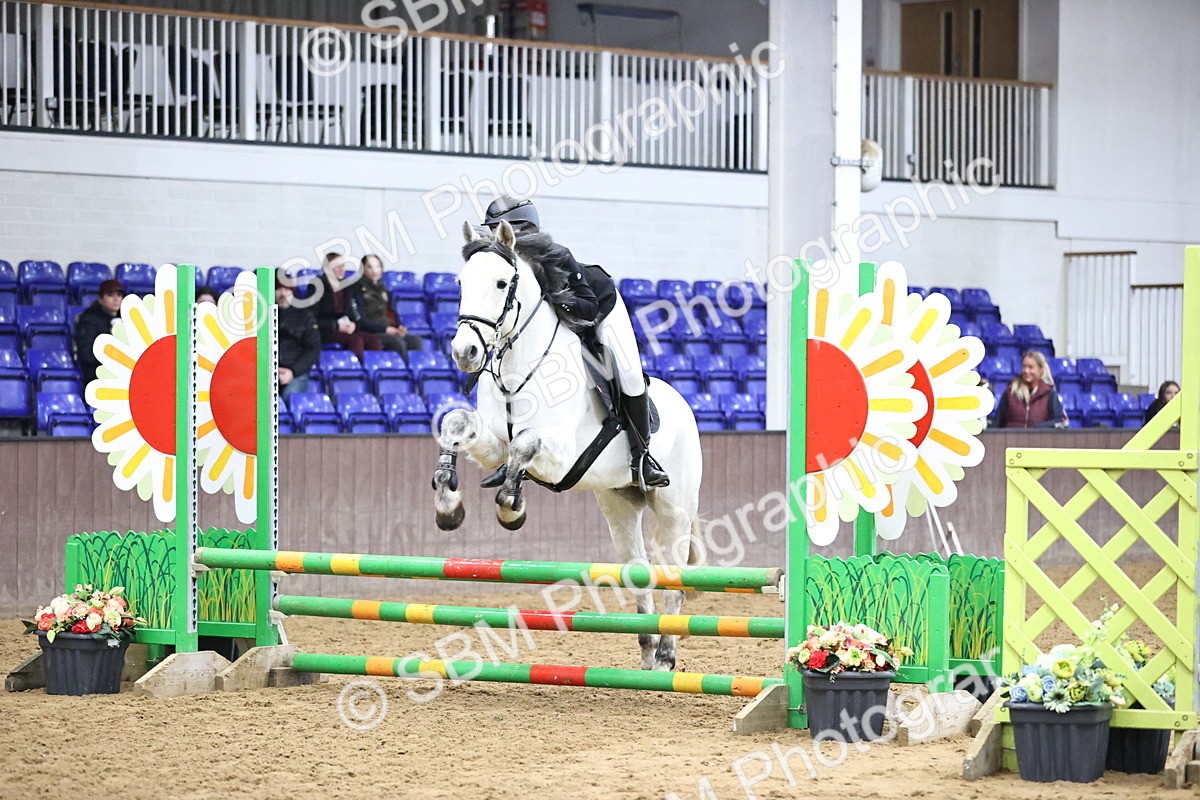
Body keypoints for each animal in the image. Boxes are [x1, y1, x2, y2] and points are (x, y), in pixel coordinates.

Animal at [430, 220, 704, 671]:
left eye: (502, 282)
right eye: (460, 282)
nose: (464, 352)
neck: (521, 367)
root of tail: (685, 407)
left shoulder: (560, 456)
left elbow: (525, 445)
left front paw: (511, 508)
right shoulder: (492, 443)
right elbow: (456, 423)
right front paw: (448, 503)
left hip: (674, 509)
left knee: (675, 574)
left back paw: (666, 655)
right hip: (619, 504)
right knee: (640, 569)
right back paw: (648, 653)